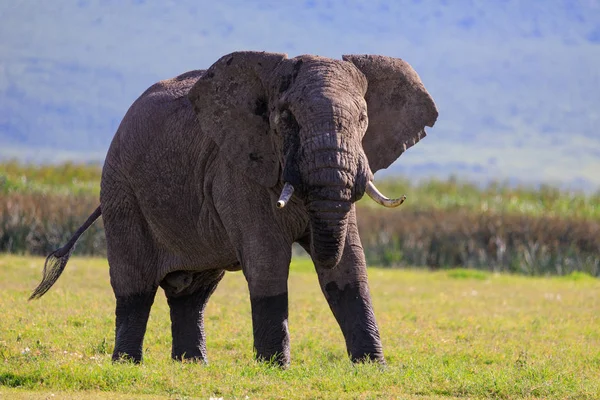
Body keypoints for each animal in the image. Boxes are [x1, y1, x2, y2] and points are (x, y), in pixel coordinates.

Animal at [30, 51, 436, 368]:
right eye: (286, 119)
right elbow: (268, 260)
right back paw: (127, 365)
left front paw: (373, 368)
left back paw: (192, 366)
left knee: (193, 292)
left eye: (363, 119)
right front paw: (275, 369)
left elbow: (350, 263)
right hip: (121, 191)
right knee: (135, 287)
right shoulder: (236, 171)